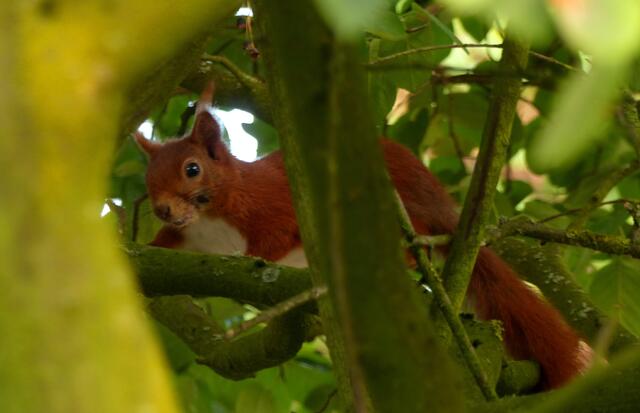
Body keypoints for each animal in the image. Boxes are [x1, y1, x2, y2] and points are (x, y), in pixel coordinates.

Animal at [135, 86, 587, 389]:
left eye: (192, 169)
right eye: (148, 177)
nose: (162, 210)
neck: (210, 217)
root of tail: (442, 205)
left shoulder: (274, 208)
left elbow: (270, 245)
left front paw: (252, 264)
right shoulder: (187, 239)